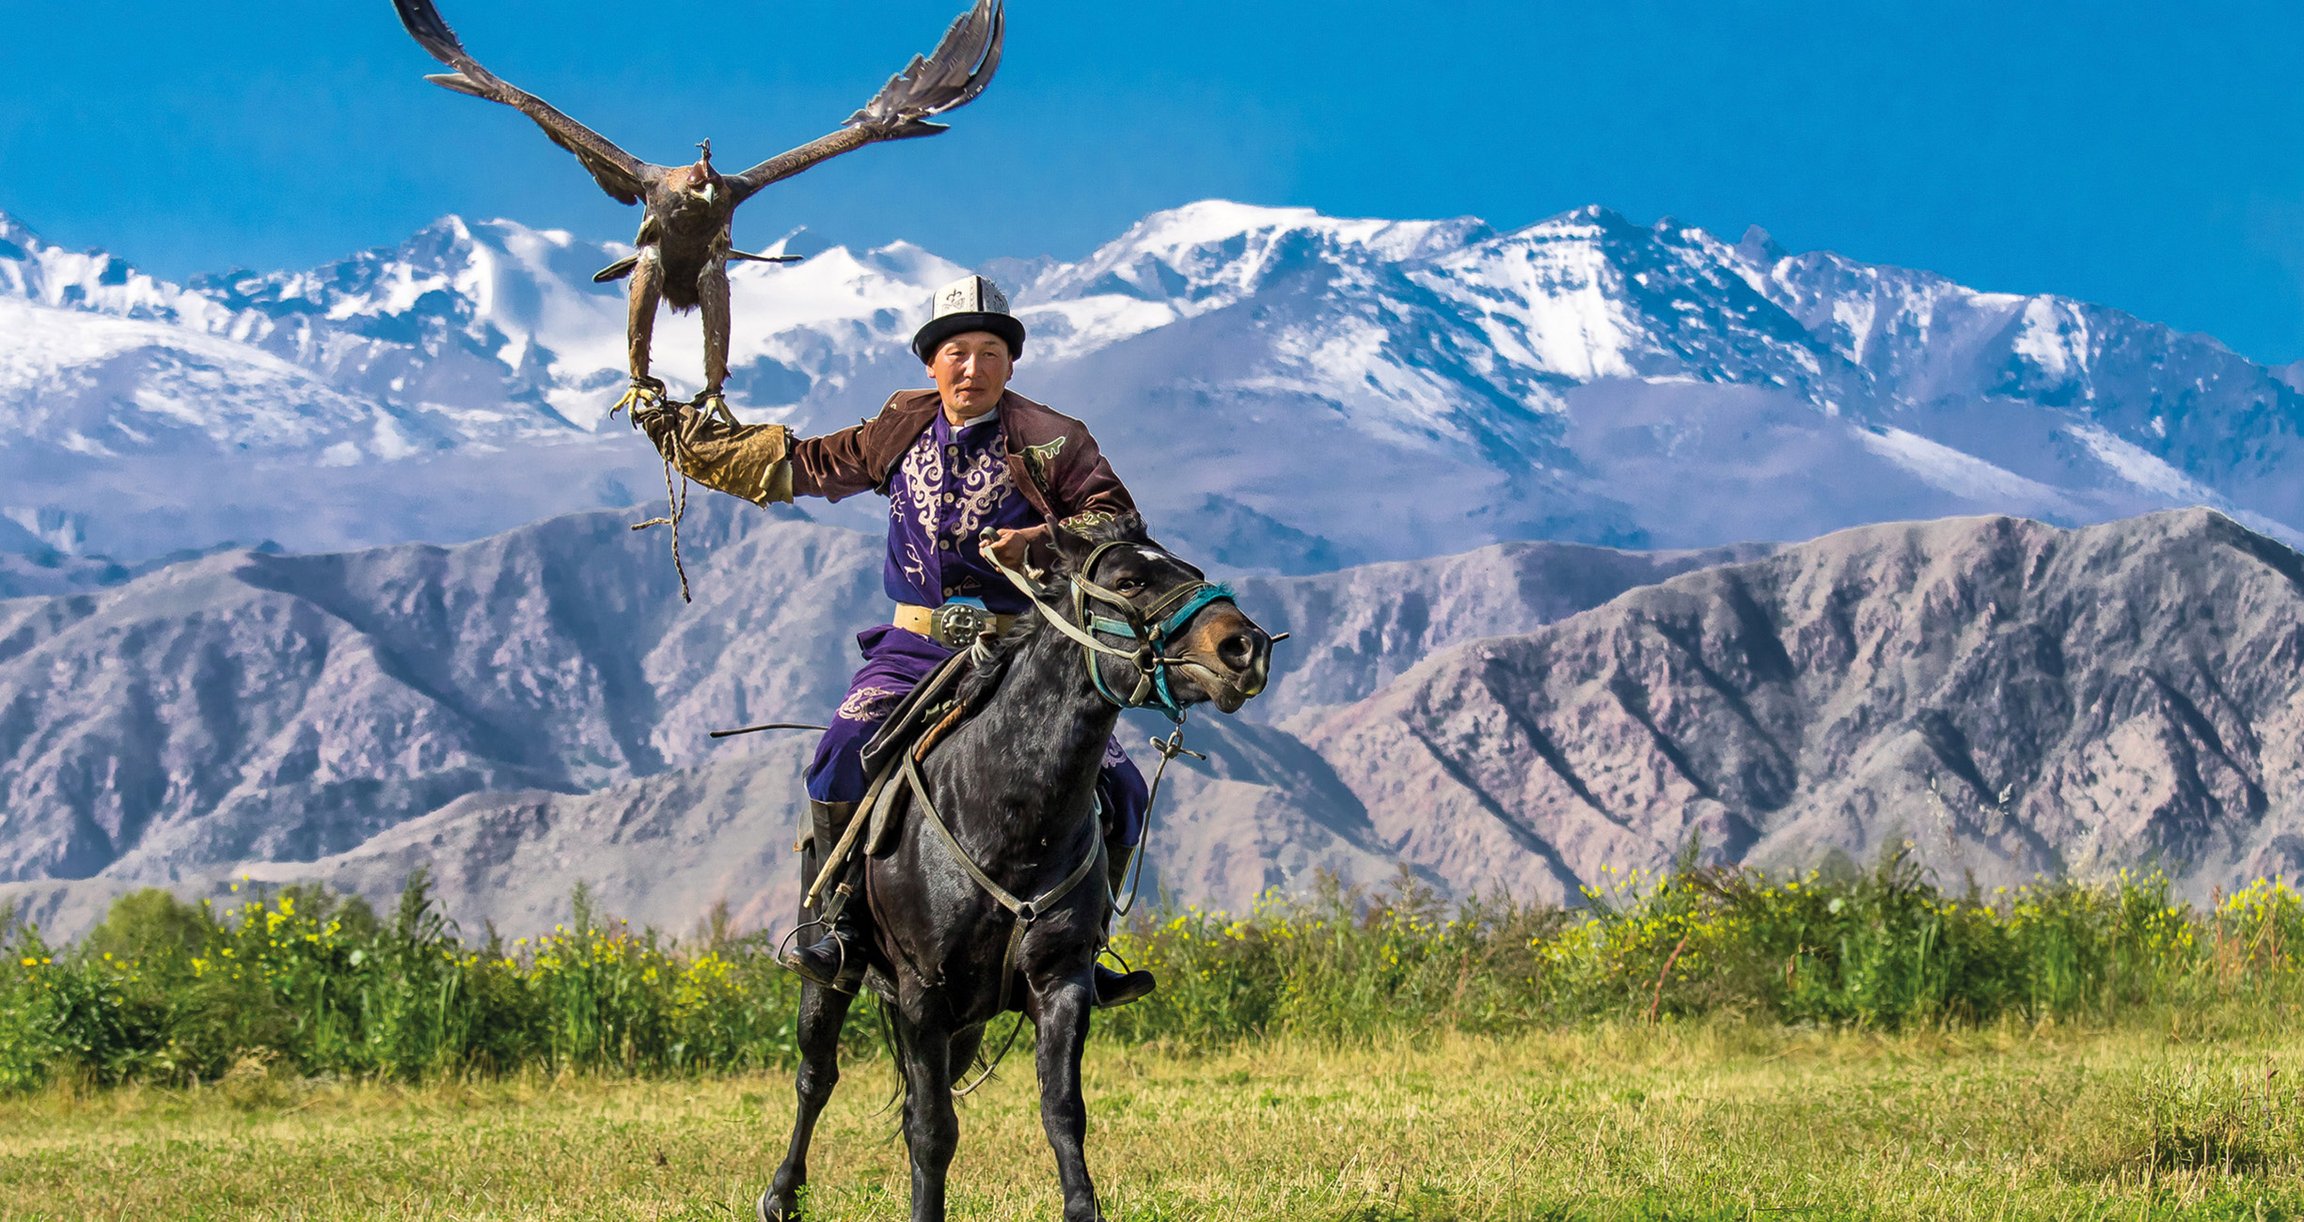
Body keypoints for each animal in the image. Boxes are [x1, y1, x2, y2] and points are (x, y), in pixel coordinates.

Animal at [760, 512, 1275, 1222]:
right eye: (1130, 581)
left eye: (1191, 573)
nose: (1246, 647)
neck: (1007, 811)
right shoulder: (923, 991)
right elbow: (931, 1129)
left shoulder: (1062, 983)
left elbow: (1062, 1112)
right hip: (831, 971)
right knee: (817, 1074)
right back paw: (783, 1193)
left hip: (967, 1019)